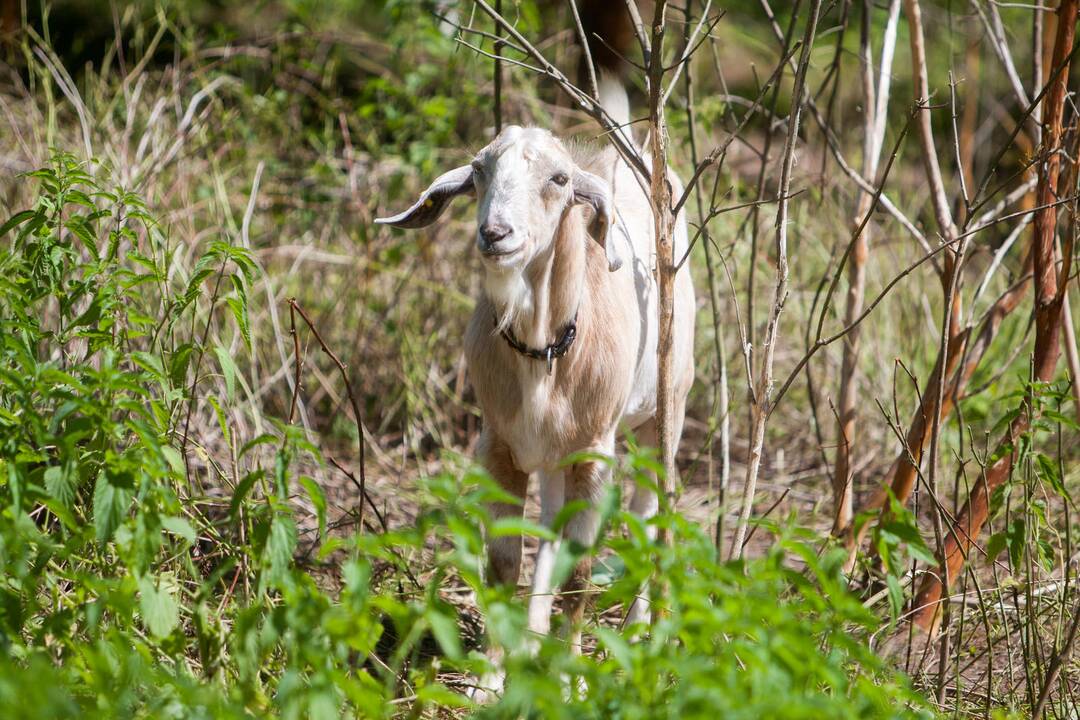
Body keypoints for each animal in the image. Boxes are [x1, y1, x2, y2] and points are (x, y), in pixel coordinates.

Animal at [375, 125, 695, 682]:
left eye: (560, 179)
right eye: (479, 169)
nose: (496, 234)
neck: (543, 354)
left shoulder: (594, 452)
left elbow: (581, 571)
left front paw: (569, 680)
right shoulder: (498, 446)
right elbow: (505, 562)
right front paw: (490, 678)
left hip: (665, 411)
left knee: (650, 509)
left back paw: (639, 634)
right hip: (550, 456)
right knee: (548, 526)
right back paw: (533, 640)